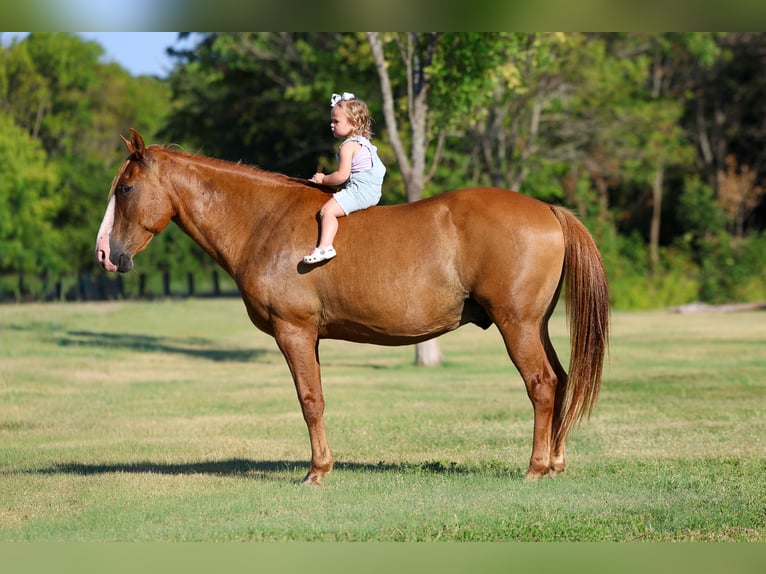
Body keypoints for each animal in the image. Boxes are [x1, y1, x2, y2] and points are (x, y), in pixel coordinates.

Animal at [95, 129, 609, 485]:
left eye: (124, 190)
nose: (105, 254)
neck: (264, 220)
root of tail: (547, 209)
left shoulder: (294, 331)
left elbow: (310, 401)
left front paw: (317, 471)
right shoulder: (311, 337)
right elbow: (318, 398)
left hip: (516, 324)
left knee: (542, 384)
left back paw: (536, 467)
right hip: (536, 325)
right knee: (561, 379)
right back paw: (557, 462)